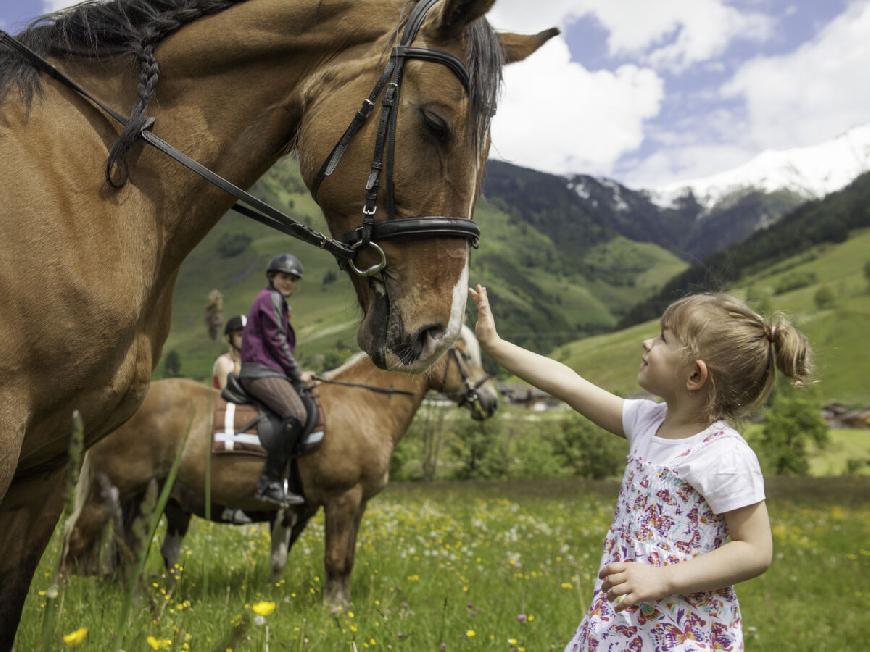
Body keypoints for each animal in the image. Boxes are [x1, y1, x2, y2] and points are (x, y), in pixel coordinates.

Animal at [63, 326, 498, 612]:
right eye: (463, 354)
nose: (491, 401)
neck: (361, 405)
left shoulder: (355, 504)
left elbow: (346, 557)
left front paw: (340, 605)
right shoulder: (341, 499)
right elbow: (335, 557)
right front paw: (333, 610)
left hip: (144, 498)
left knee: (128, 549)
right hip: (109, 493)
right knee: (76, 541)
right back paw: (62, 603)